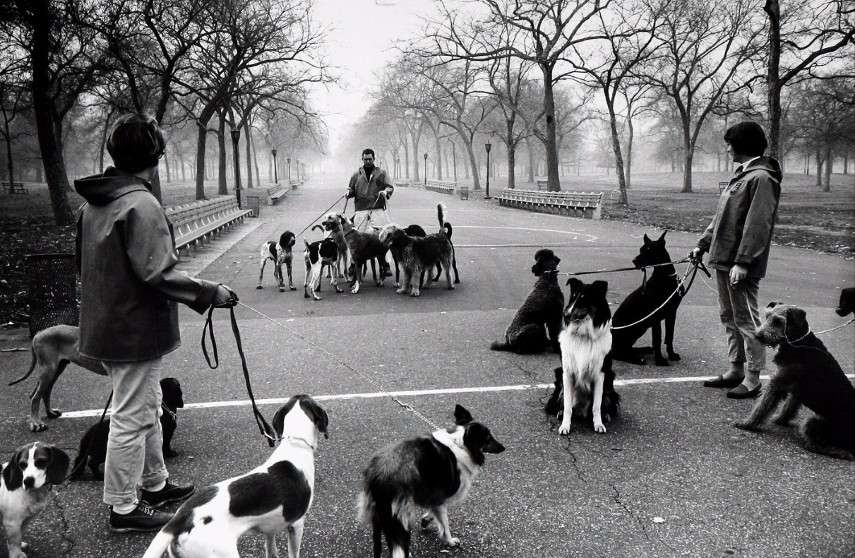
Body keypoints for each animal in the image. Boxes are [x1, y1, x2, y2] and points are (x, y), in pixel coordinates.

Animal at [140, 396, 328, 558]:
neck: (295, 444)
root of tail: (180, 518)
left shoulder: (270, 526)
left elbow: (270, 546)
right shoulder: (297, 524)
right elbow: (293, 552)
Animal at [358, 406, 504, 558]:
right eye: (488, 438)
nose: (503, 447)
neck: (461, 444)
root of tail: (378, 475)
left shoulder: (433, 496)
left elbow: (434, 511)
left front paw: (426, 520)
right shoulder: (440, 494)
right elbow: (445, 524)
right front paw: (449, 541)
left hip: (379, 516)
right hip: (400, 516)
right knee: (398, 546)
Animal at [560, 280, 620, 438]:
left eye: (583, 298)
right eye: (573, 297)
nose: (565, 315)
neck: (583, 336)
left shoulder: (600, 374)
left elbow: (596, 405)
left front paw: (598, 424)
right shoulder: (567, 373)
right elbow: (567, 405)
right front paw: (565, 425)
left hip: (609, 382)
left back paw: (606, 416)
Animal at [612, 232, 684, 368]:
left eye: (649, 250)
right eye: (641, 249)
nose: (634, 261)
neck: (664, 276)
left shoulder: (672, 313)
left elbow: (669, 336)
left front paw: (671, 355)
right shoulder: (655, 316)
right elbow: (658, 339)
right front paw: (660, 360)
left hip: (641, 328)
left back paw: (643, 350)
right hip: (634, 327)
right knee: (618, 351)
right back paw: (637, 359)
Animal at [736, 304, 855, 462]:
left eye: (778, 321)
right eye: (767, 316)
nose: (758, 335)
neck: (798, 344)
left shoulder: (777, 383)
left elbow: (762, 406)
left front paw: (747, 423)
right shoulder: (796, 390)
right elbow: (788, 407)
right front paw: (779, 420)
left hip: (813, 421)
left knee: (822, 446)